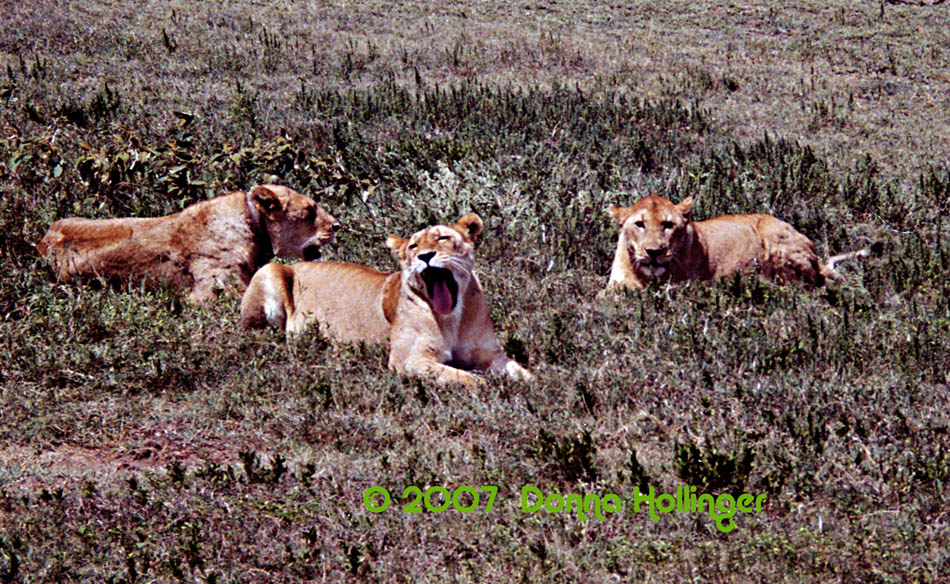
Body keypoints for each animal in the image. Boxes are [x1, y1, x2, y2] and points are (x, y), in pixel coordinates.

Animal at [242, 212, 532, 386]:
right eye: (413, 246)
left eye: (442, 238)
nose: (425, 256)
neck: (454, 317)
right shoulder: (409, 360)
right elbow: (468, 379)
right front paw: (491, 387)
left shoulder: (491, 355)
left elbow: (523, 372)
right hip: (269, 271)